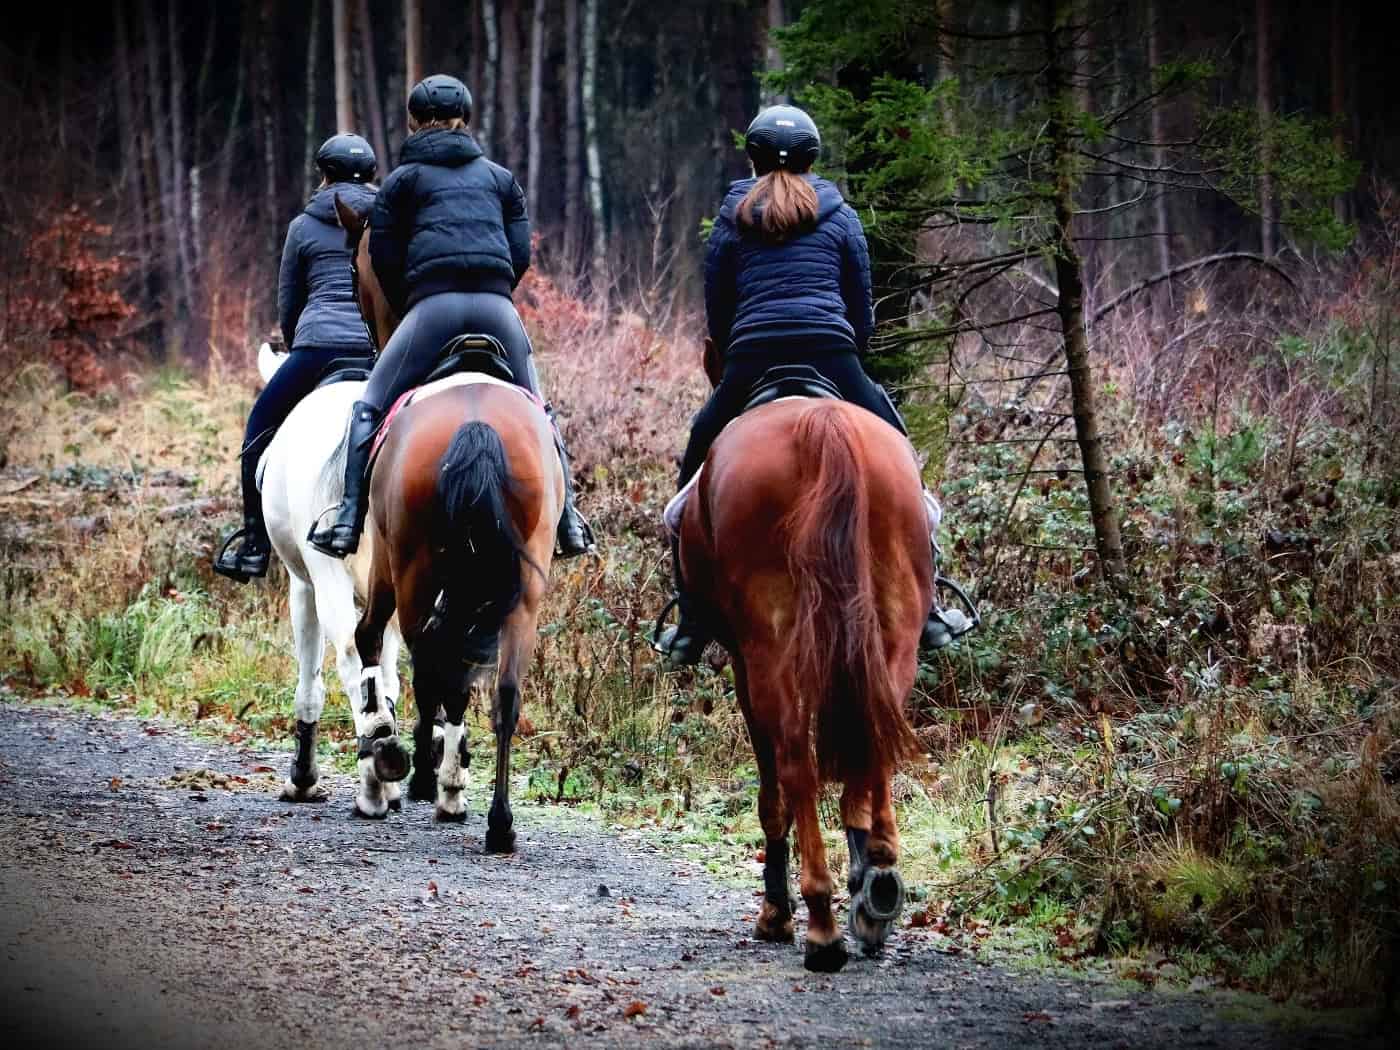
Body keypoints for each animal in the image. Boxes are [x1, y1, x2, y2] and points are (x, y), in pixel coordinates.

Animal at [253, 344, 408, 814]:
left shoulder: (303, 586)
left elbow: (310, 683)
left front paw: (303, 779)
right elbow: (390, 678)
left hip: (327, 578)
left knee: (350, 660)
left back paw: (373, 783)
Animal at [333, 194, 562, 849]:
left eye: (356, 271)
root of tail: (476, 423)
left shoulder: (384, 564)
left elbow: (372, 641)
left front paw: (399, 755)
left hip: (413, 568)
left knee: (431, 660)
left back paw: (428, 779)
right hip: (522, 588)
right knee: (502, 691)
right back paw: (498, 823)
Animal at [672, 339, 933, 972]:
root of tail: (821, 425)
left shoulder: (744, 664)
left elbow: (772, 791)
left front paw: (775, 913)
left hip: (772, 649)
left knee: (795, 762)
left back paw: (819, 925)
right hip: (894, 632)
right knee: (873, 741)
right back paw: (876, 885)